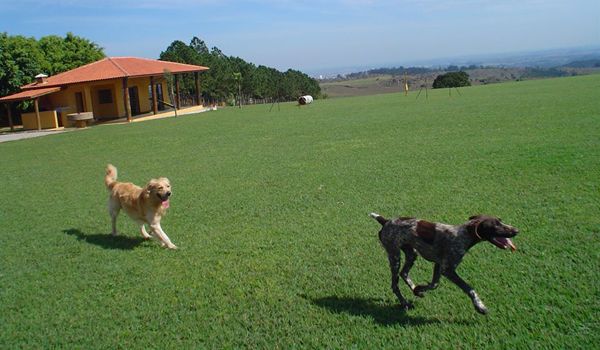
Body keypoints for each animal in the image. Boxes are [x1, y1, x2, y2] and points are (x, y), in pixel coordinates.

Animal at [368, 213, 516, 314]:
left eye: (501, 221)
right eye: (496, 225)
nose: (516, 230)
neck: (462, 235)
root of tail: (386, 221)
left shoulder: (439, 265)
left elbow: (434, 284)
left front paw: (419, 289)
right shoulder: (448, 269)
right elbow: (469, 289)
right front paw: (480, 306)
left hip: (411, 253)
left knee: (404, 273)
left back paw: (415, 290)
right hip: (394, 256)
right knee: (395, 284)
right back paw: (404, 303)